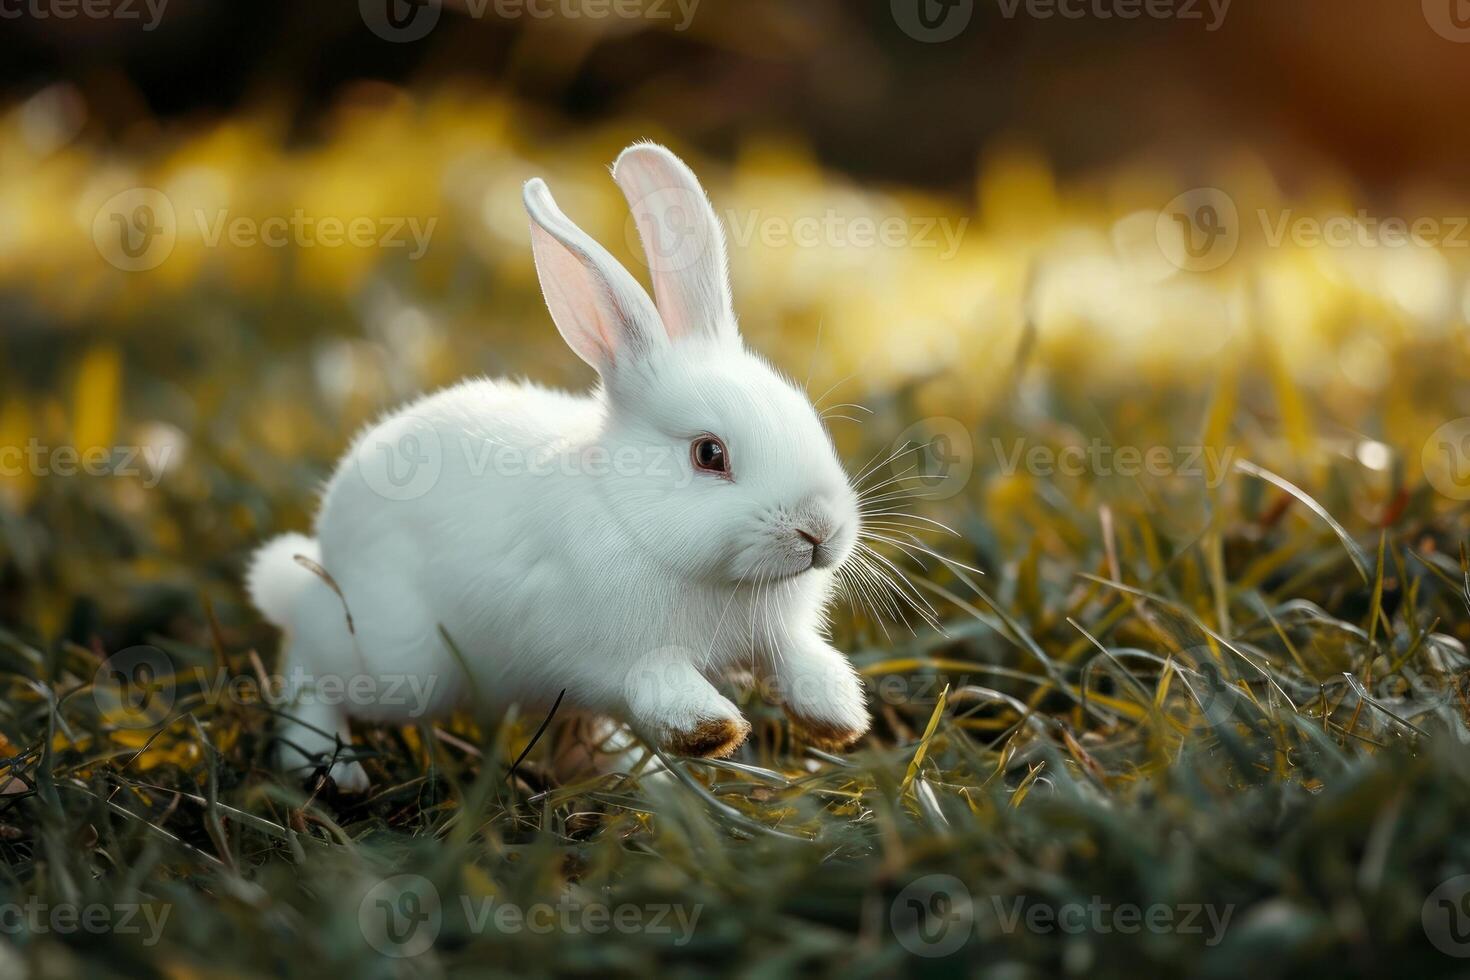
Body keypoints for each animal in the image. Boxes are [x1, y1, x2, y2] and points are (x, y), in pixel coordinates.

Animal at [245, 143, 864, 787]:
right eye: (709, 454)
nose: (820, 530)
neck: (631, 518)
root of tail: (329, 536)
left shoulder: (777, 637)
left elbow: (800, 660)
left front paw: (839, 718)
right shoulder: (626, 657)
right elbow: (663, 688)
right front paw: (712, 731)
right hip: (399, 661)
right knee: (307, 651)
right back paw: (329, 767)